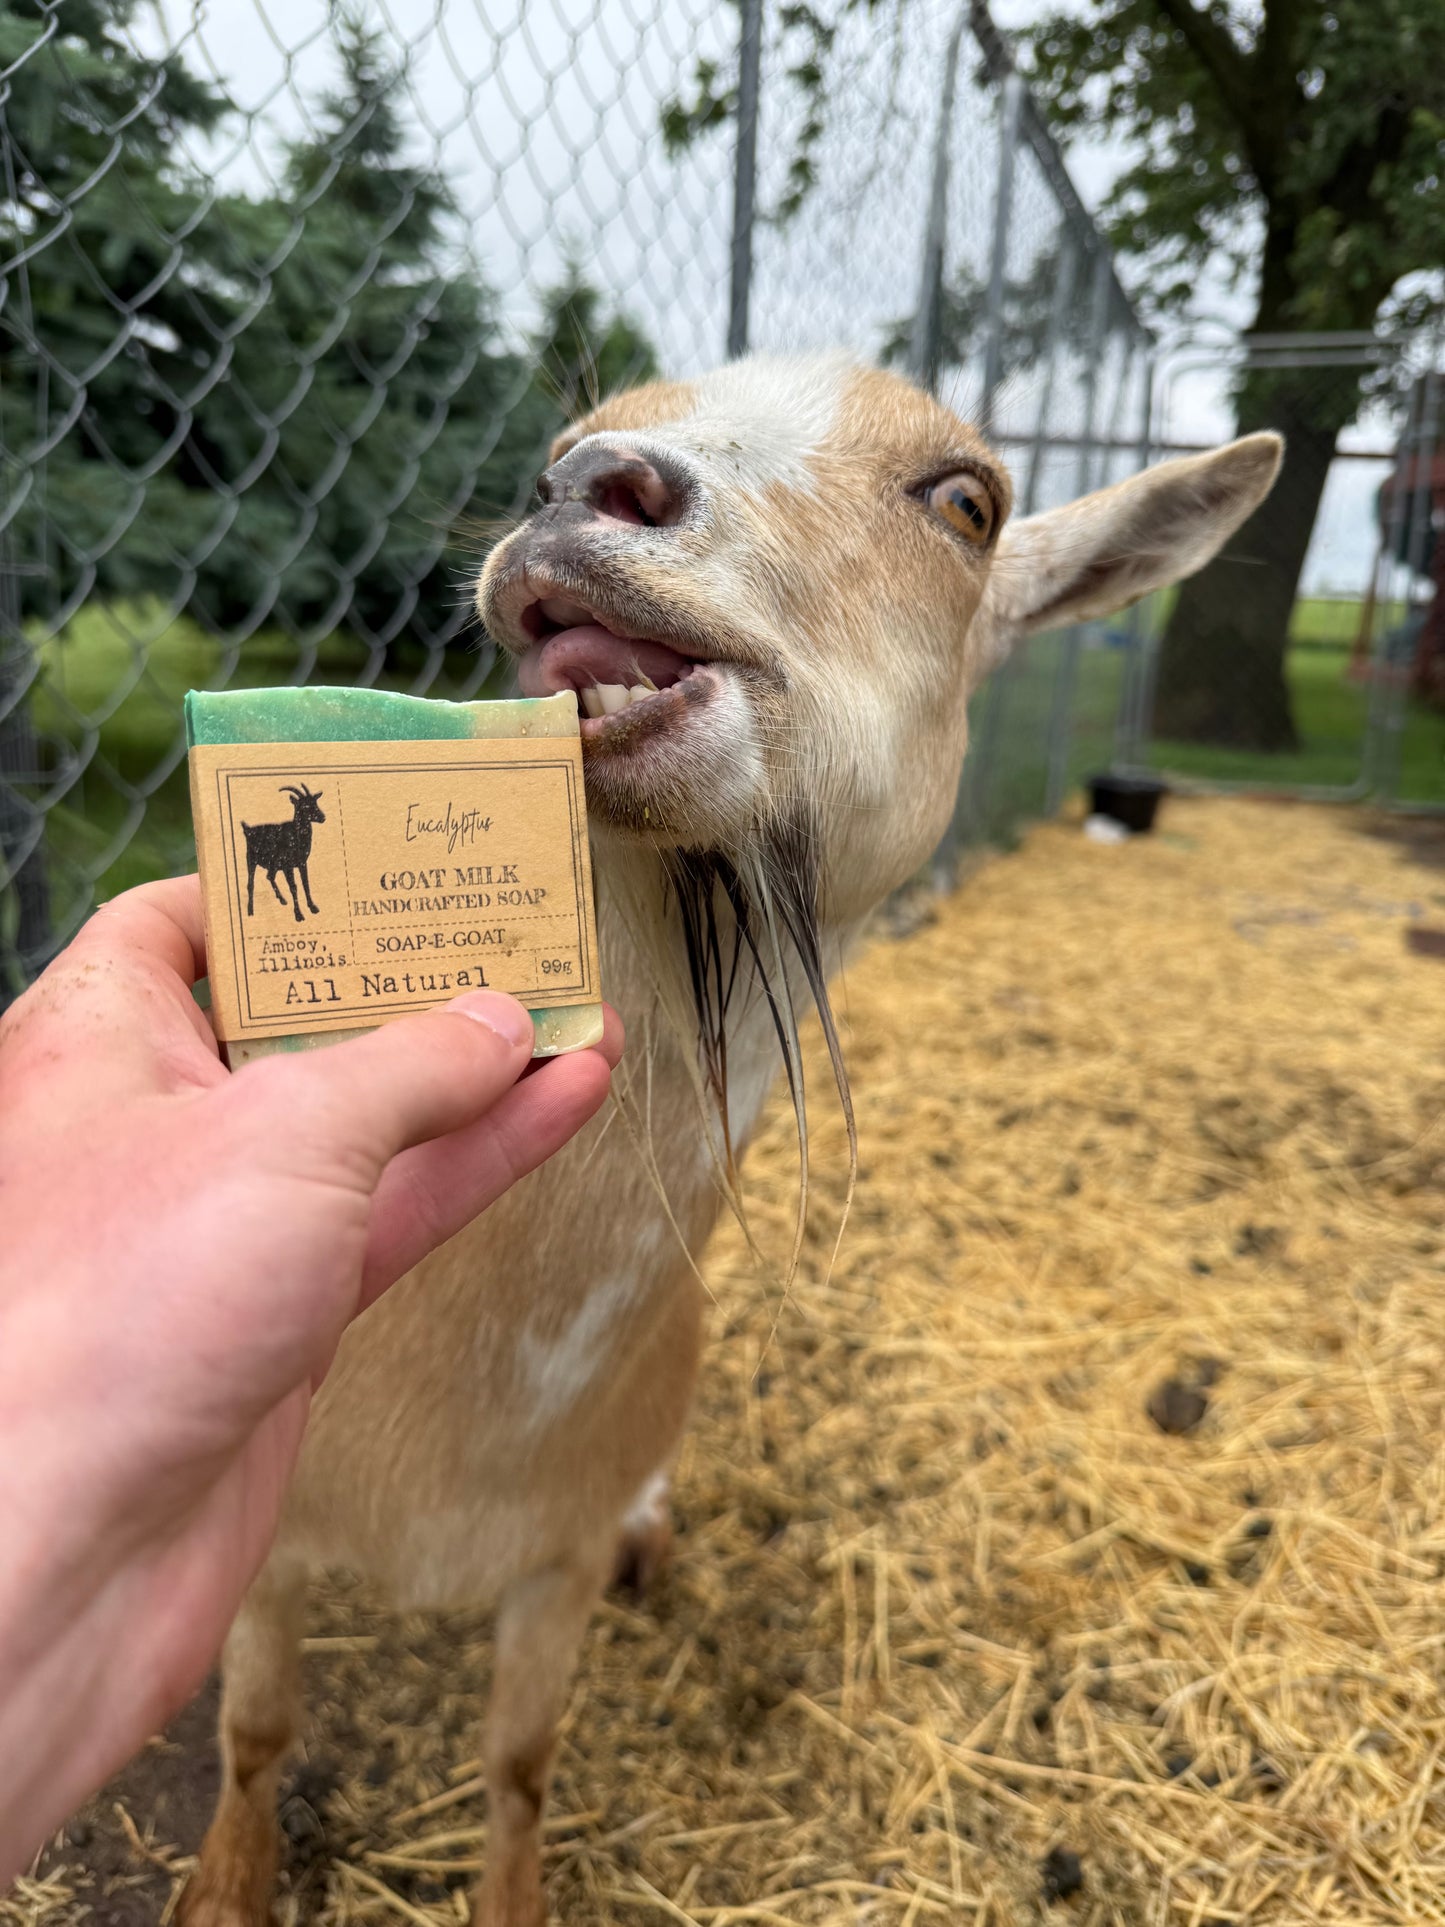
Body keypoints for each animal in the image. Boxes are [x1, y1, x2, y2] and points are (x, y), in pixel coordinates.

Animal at [242, 784, 325, 924]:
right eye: (304, 806)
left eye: (315, 802)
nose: (322, 817)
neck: (295, 836)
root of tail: (247, 830)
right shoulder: (287, 866)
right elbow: (294, 887)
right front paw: (299, 915)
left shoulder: (302, 863)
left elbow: (306, 884)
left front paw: (313, 907)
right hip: (251, 860)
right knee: (250, 884)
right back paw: (250, 911)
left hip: (273, 864)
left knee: (269, 876)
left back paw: (282, 900)